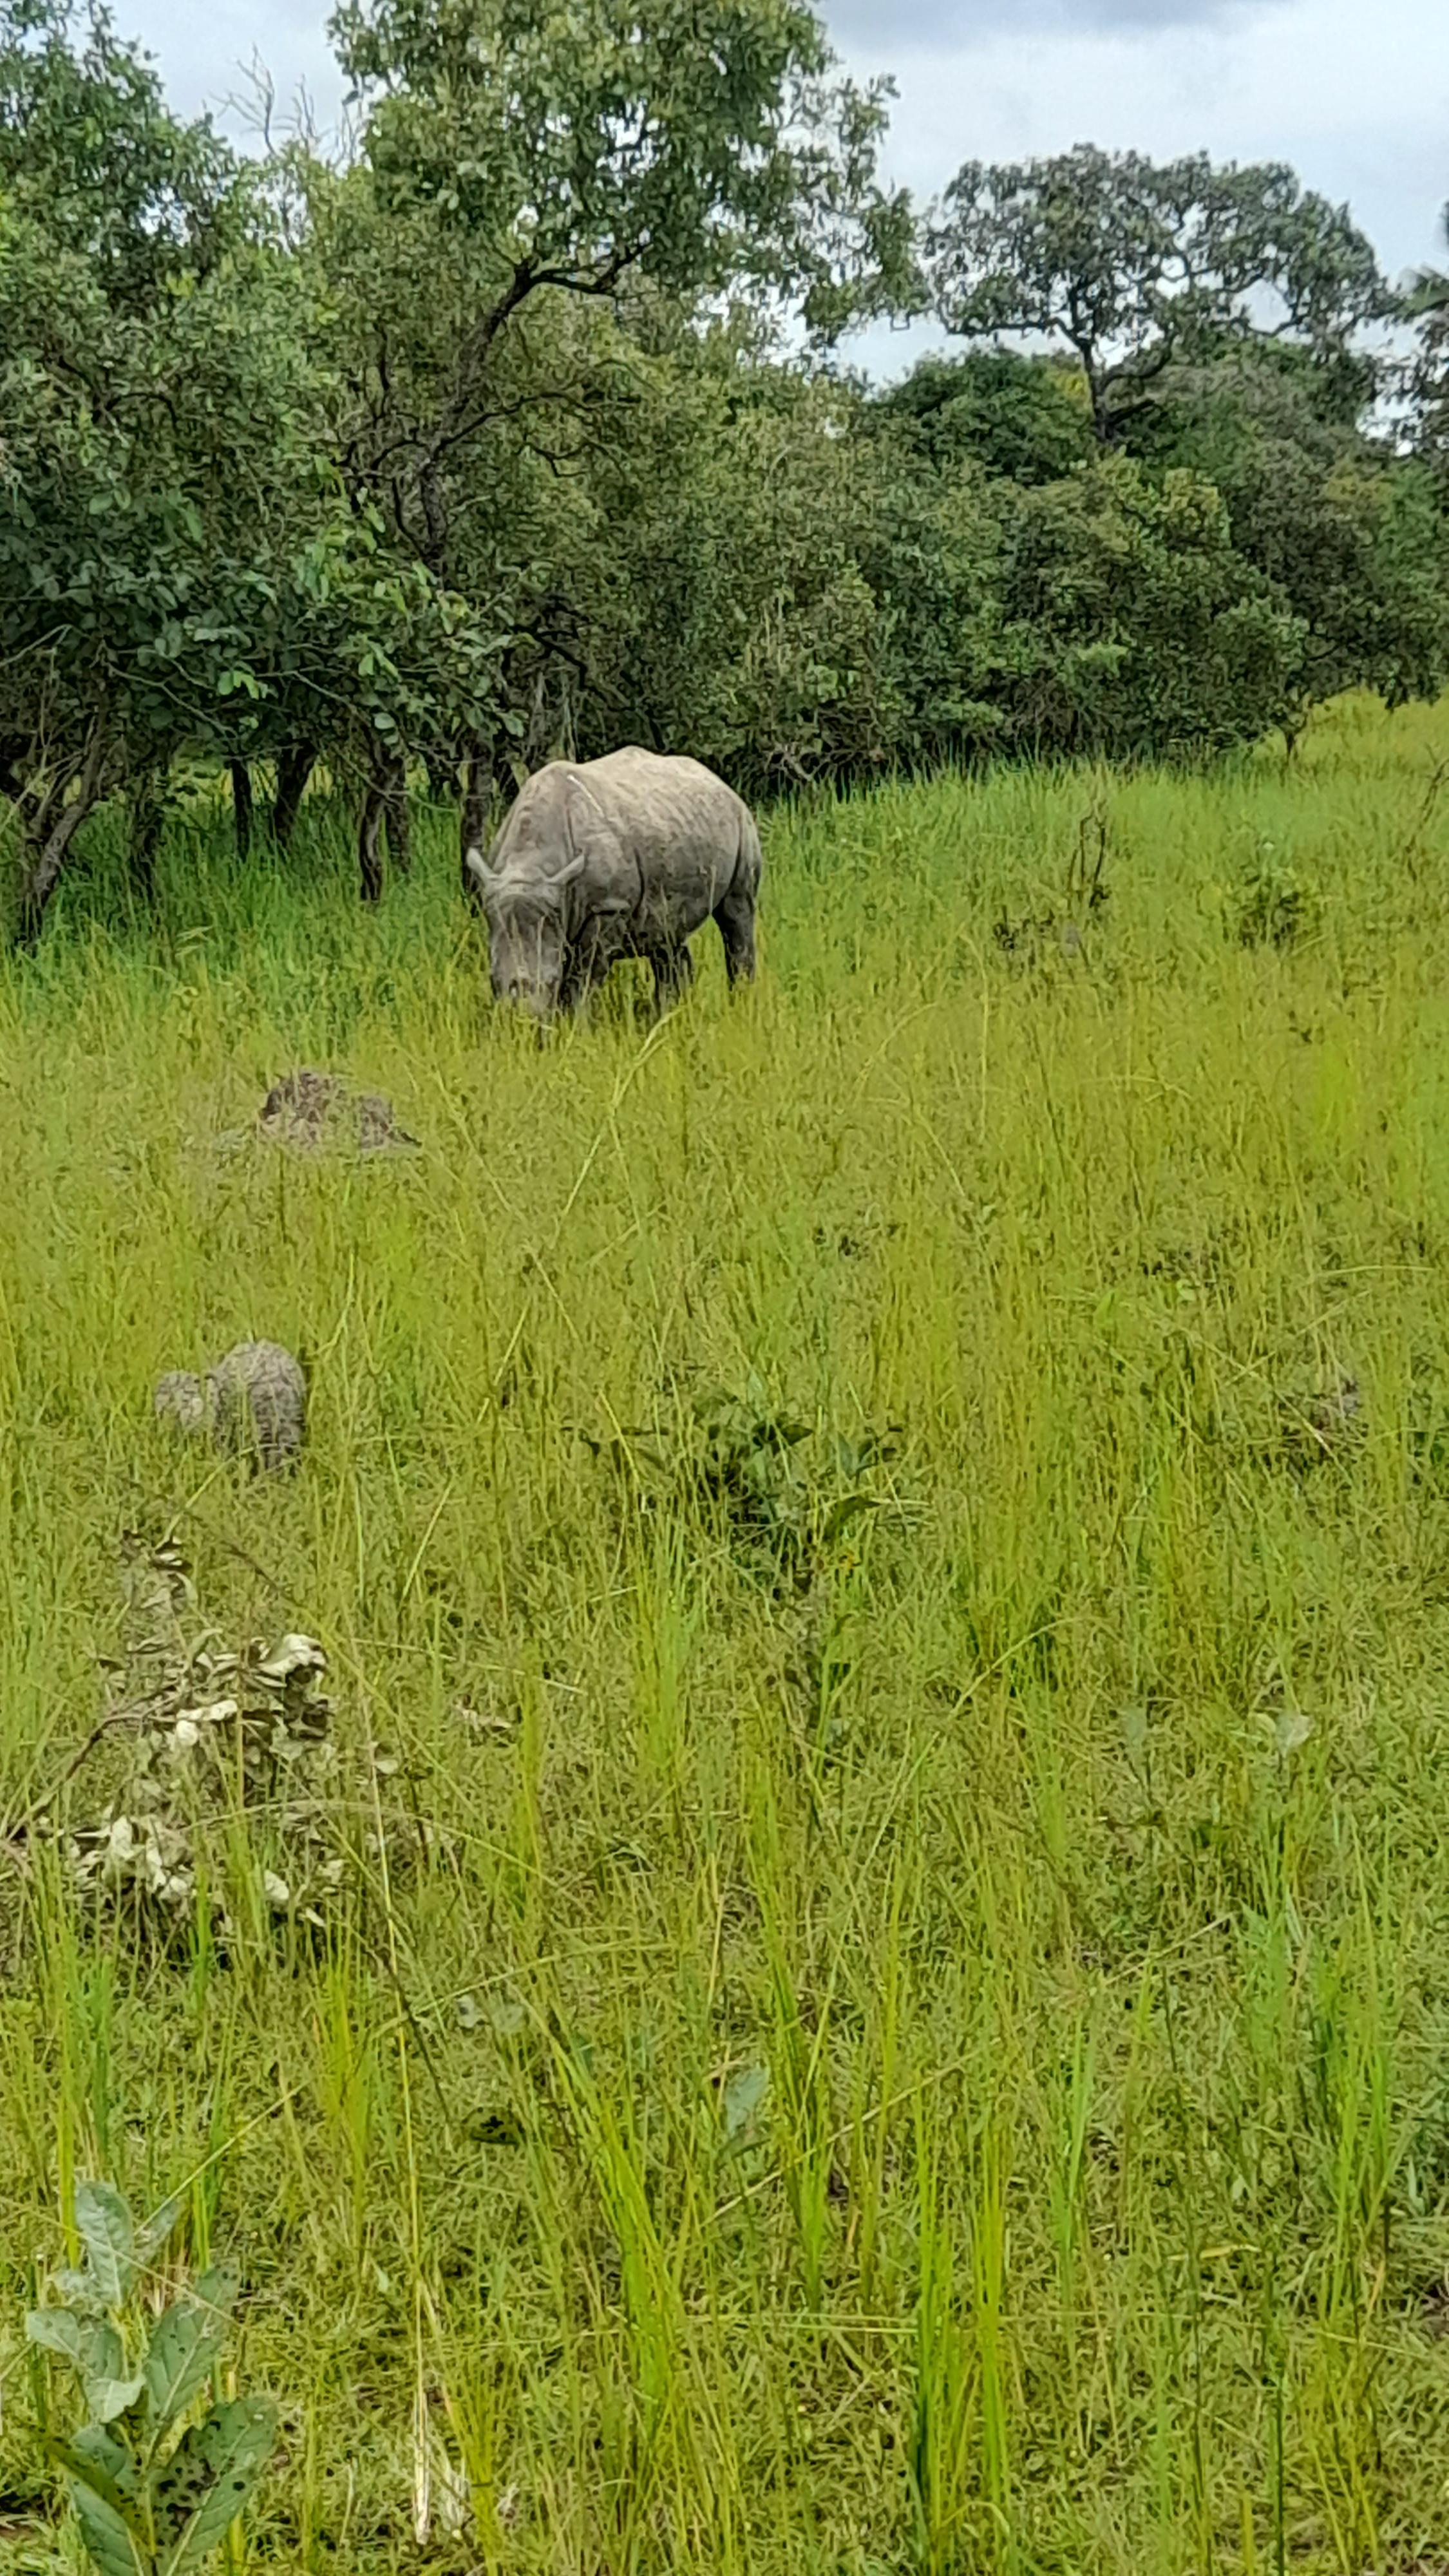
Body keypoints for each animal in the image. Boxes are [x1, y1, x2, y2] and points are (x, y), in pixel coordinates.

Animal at [465, 747, 761, 1018]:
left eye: (550, 983)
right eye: (493, 982)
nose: (523, 1022)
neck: (531, 864)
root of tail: (720, 782)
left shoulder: (607, 907)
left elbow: (581, 979)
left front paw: (576, 1026)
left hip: (742, 823)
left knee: (736, 915)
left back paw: (740, 1006)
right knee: (667, 935)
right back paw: (667, 1017)